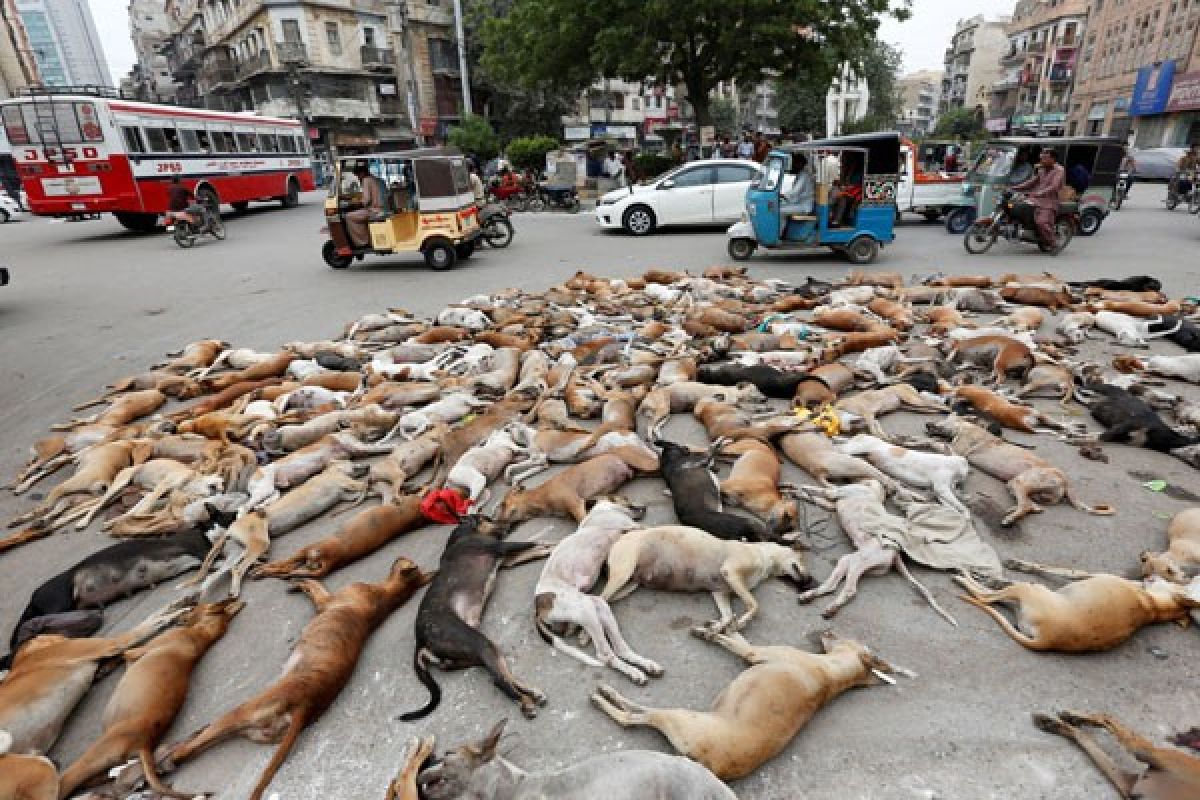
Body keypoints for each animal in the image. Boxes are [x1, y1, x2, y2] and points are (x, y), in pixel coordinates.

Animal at [56, 599, 243, 800]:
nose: (182, 615)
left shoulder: (134, 653)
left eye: (194, 609)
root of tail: (144, 744)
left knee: (66, 783)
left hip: (94, 755)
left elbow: (121, 652)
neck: (202, 635)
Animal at [164, 556, 432, 800]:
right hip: (252, 729)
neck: (388, 596)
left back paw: (171, 757)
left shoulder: (327, 600)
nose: (399, 557)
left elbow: (315, 584)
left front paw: (296, 578)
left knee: (192, 749)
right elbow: (314, 582)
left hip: (243, 711)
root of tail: (305, 707)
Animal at [403, 515, 552, 724]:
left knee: (502, 674)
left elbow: (533, 552)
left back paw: (532, 694)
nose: (510, 523)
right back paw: (526, 703)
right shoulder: (502, 547)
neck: (462, 535)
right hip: (480, 643)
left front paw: (548, 548)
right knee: (498, 680)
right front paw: (550, 544)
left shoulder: (506, 560)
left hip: (476, 654)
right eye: (489, 519)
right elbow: (533, 544)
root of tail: (420, 642)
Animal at [590, 628, 892, 777]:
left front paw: (710, 631)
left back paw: (604, 696)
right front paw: (723, 624)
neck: (833, 675)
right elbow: (735, 633)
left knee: (633, 716)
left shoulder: (755, 653)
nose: (827, 630)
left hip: (680, 717)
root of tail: (709, 767)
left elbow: (736, 641)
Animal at [955, 568, 1200, 652]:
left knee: (984, 596)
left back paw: (964, 576)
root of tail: (1048, 639)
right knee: (990, 596)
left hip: (1029, 590)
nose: (1149, 576)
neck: (1152, 607)